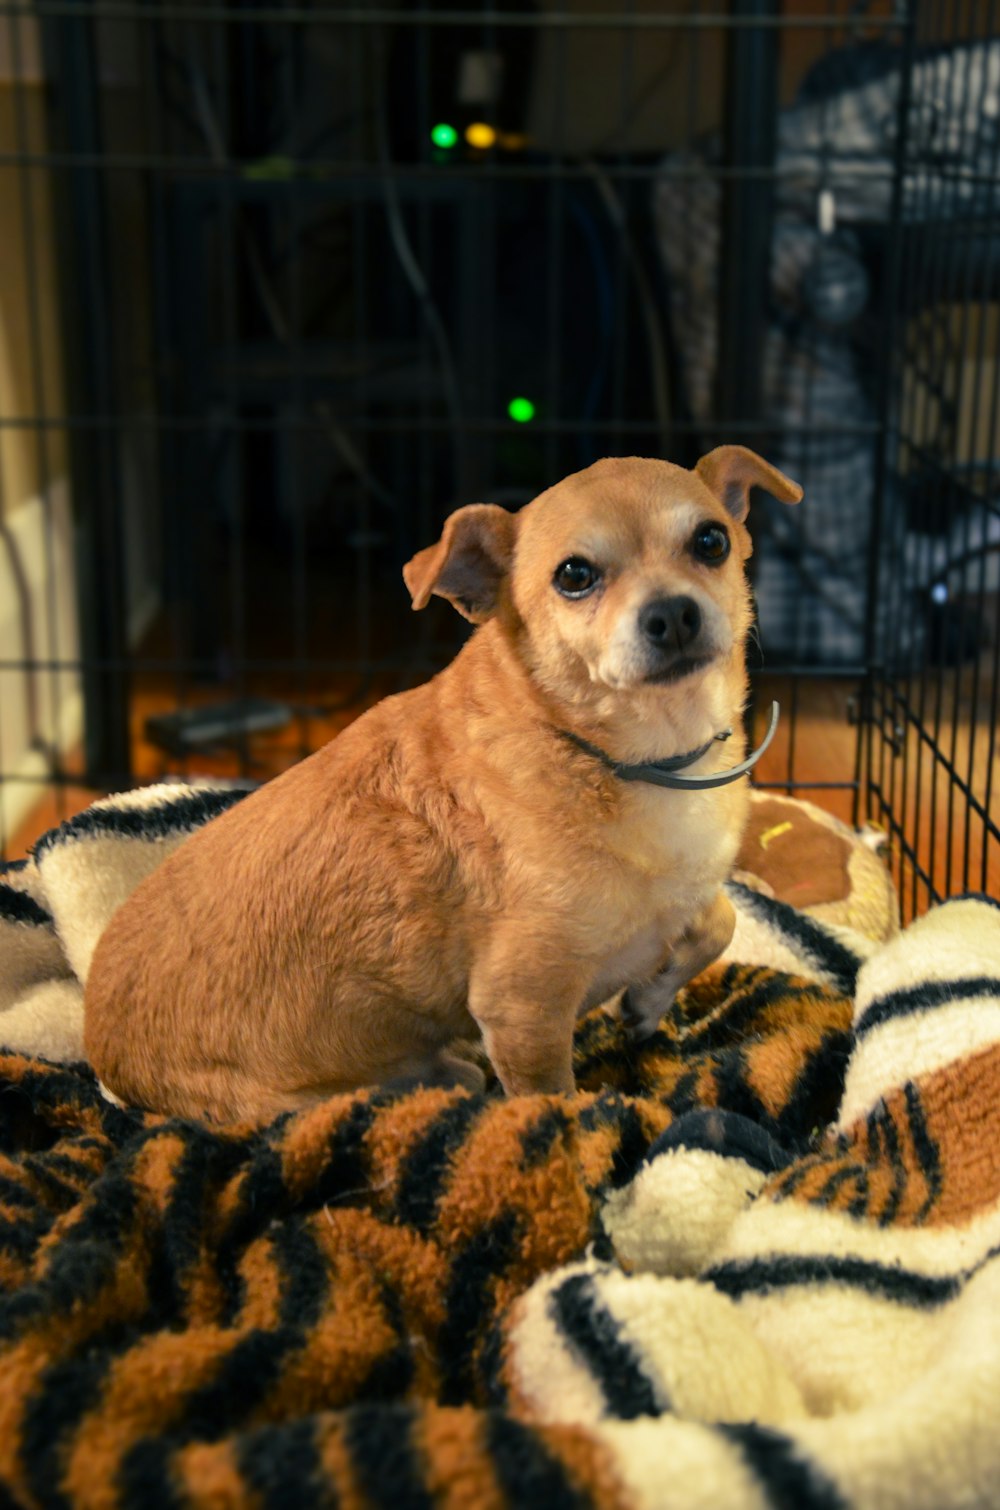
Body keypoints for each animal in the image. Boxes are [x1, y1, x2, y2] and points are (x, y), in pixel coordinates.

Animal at [82, 446, 803, 1123]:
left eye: (710, 542)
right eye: (575, 576)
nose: (673, 614)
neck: (634, 757)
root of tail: (100, 1059)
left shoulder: (685, 900)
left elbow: (720, 920)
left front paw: (649, 1001)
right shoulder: (522, 1008)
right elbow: (555, 1097)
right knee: (452, 1078)